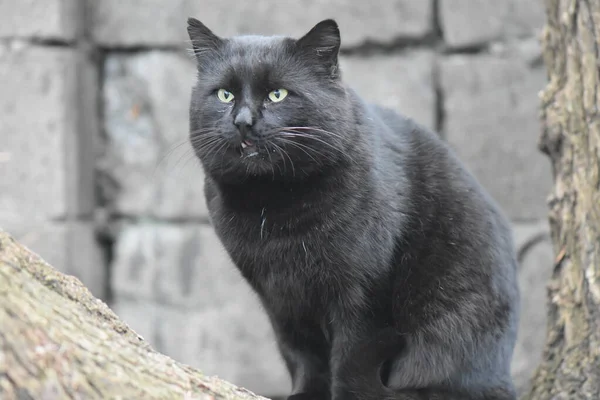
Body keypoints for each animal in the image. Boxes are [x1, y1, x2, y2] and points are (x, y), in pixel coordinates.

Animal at [189, 16, 520, 400]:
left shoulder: (364, 296)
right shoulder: (281, 301)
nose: (243, 121)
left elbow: (352, 358)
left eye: (277, 94)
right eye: (224, 94)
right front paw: (304, 394)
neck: (274, 210)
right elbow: (302, 356)